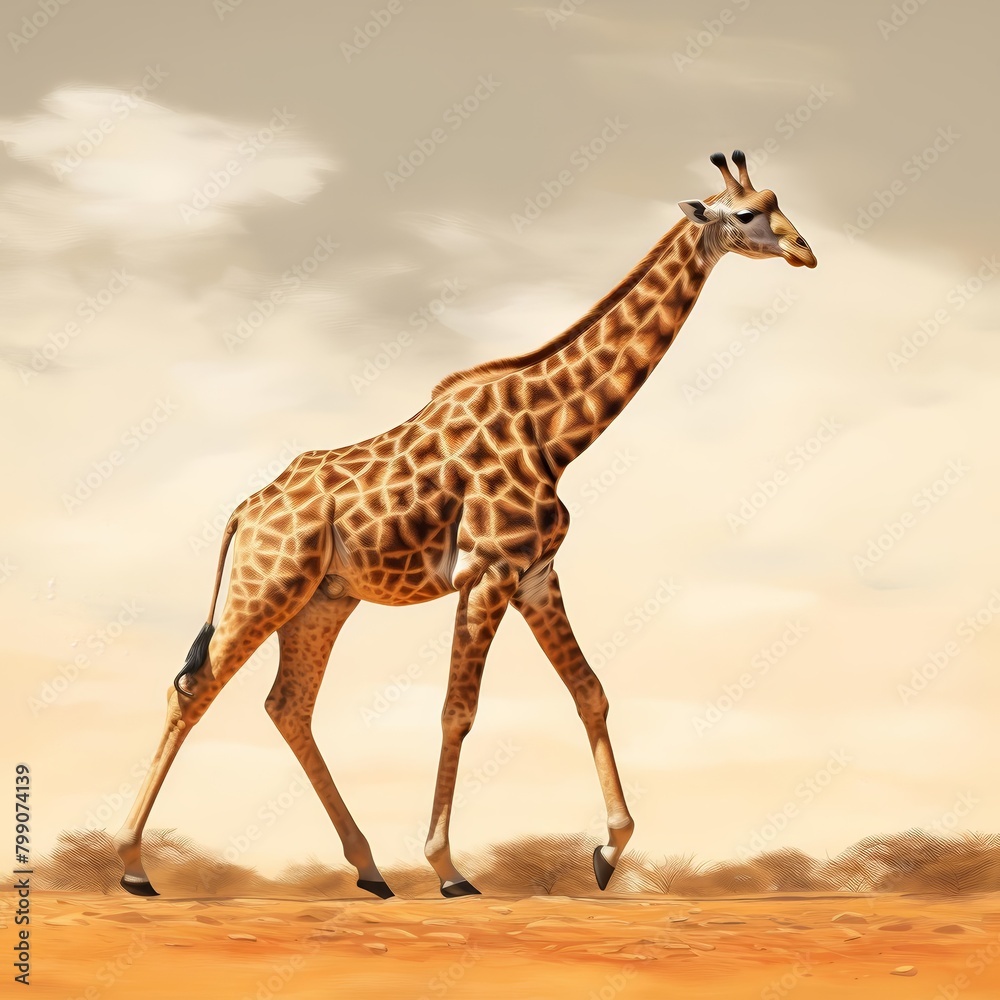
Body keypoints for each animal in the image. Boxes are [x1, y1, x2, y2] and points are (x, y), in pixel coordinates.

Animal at [113, 150, 815, 899]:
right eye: (746, 213)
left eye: (779, 202)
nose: (806, 251)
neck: (554, 434)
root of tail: (246, 509)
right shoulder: (490, 571)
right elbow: (459, 711)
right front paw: (449, 869)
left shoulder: (535, 572)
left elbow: (590, 692)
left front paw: (607, 851)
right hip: (265, 587)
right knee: (193, 691)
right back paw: (133, 866)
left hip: (323, 600)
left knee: (287, 704)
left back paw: (369, 869)